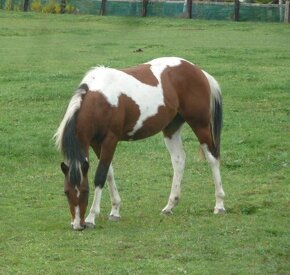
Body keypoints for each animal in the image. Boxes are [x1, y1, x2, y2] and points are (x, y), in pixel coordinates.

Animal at [55, 56, 227, 231]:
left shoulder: (110, 140)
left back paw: (219, 204)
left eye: (85, 191)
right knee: (179, 160)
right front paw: (115, 210)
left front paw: (91, 217)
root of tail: (199, 71)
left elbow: (100, 175)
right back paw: (170, 206)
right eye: (66, 192)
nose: (77, 225)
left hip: (200, 125)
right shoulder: (96, 143)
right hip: (171, 128)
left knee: (213, 158)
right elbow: (109, 172)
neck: (100, 100)